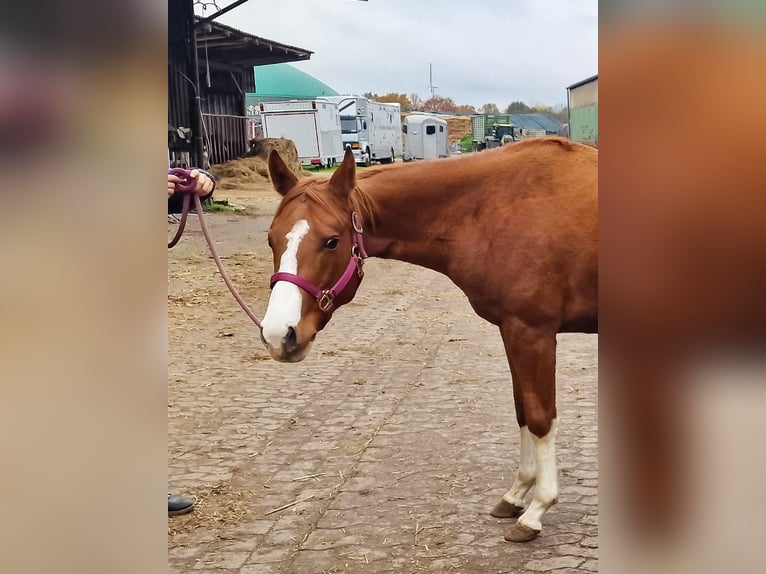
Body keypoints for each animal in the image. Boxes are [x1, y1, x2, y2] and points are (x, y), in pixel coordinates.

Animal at [260, 138, 598, 542]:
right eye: (271, 239)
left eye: (331, 241)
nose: (279, 333)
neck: (499, 206)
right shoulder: (512, 330)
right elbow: (521, 412)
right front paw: (517, 494)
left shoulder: (532, 332)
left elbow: (540, 417)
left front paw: (536, 510)